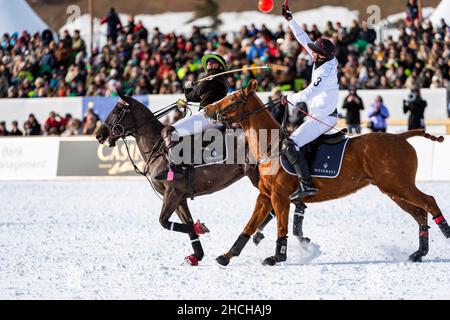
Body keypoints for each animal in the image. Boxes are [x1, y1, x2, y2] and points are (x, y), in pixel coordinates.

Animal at [94, 90, 278, 264]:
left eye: (117, 110)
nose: (99, 135)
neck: (158, 149)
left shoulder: (172, 193)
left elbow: (164, 222)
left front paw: (200, 228)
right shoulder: (179, 197)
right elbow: (185, 222)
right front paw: (196, 254)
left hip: (257, 175)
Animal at [205, 79, 450, 264]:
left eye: (233, 98)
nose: (206, 109)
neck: (270, 146)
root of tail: (401, 137)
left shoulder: (280, 197)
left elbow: (281, 227)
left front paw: (277, 257)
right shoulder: (265, 196)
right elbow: (249, 226)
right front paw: (226, 256)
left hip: (400, 185)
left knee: (429, 202)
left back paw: (445, 234)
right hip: (392, 189)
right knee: (420, 213)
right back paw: (418, 253)